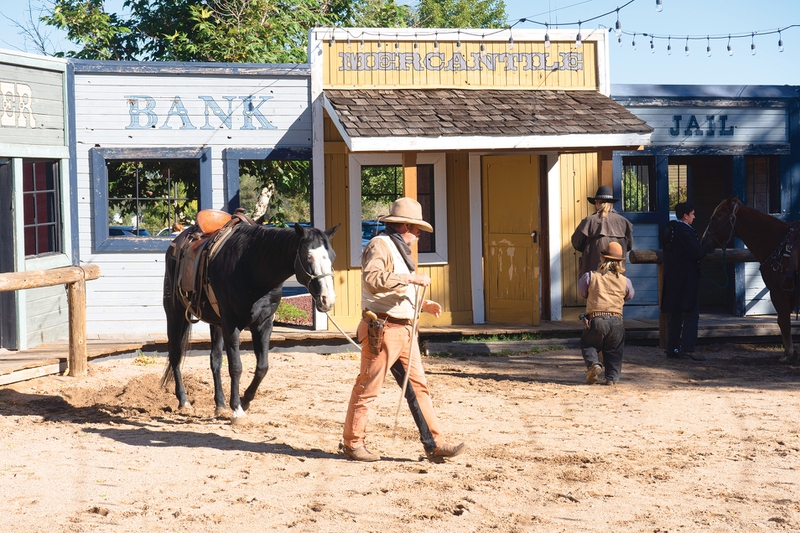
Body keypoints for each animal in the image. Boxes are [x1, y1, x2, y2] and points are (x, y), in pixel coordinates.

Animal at [162, 220, 339, 423]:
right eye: (309, 257)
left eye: (333, 256)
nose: (327, 299)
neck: (252, 269)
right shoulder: (232, 326)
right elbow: (236, 367)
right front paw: (237, 409)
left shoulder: (263, 324)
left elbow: (262, 367)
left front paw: (245, 400)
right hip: (175, 314)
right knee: (175, 356)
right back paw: (184, 401)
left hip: (216, 324)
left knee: (215, 360)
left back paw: (220, 405)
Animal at [700, 197, 800, 364]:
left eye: (715, 217)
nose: (703, 242)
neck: (778, 242)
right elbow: (783, 321)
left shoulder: (778, 292)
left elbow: (783, 321)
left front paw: (788, 354)